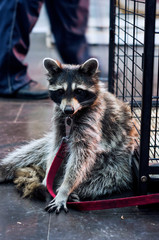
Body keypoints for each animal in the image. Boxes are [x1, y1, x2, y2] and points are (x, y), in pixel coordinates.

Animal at [0, 58, 138, 214]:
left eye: (79, 91)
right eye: (61, 91)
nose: (68, 109)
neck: (72, 116)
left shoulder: (93, 121)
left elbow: (81, 156)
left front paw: (65, 190)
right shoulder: (60, 122)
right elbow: (55, 148)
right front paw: (47, 177)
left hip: (116, 163)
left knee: (101, 180)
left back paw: (65, 189)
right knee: (30, 152)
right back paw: (6, 168)